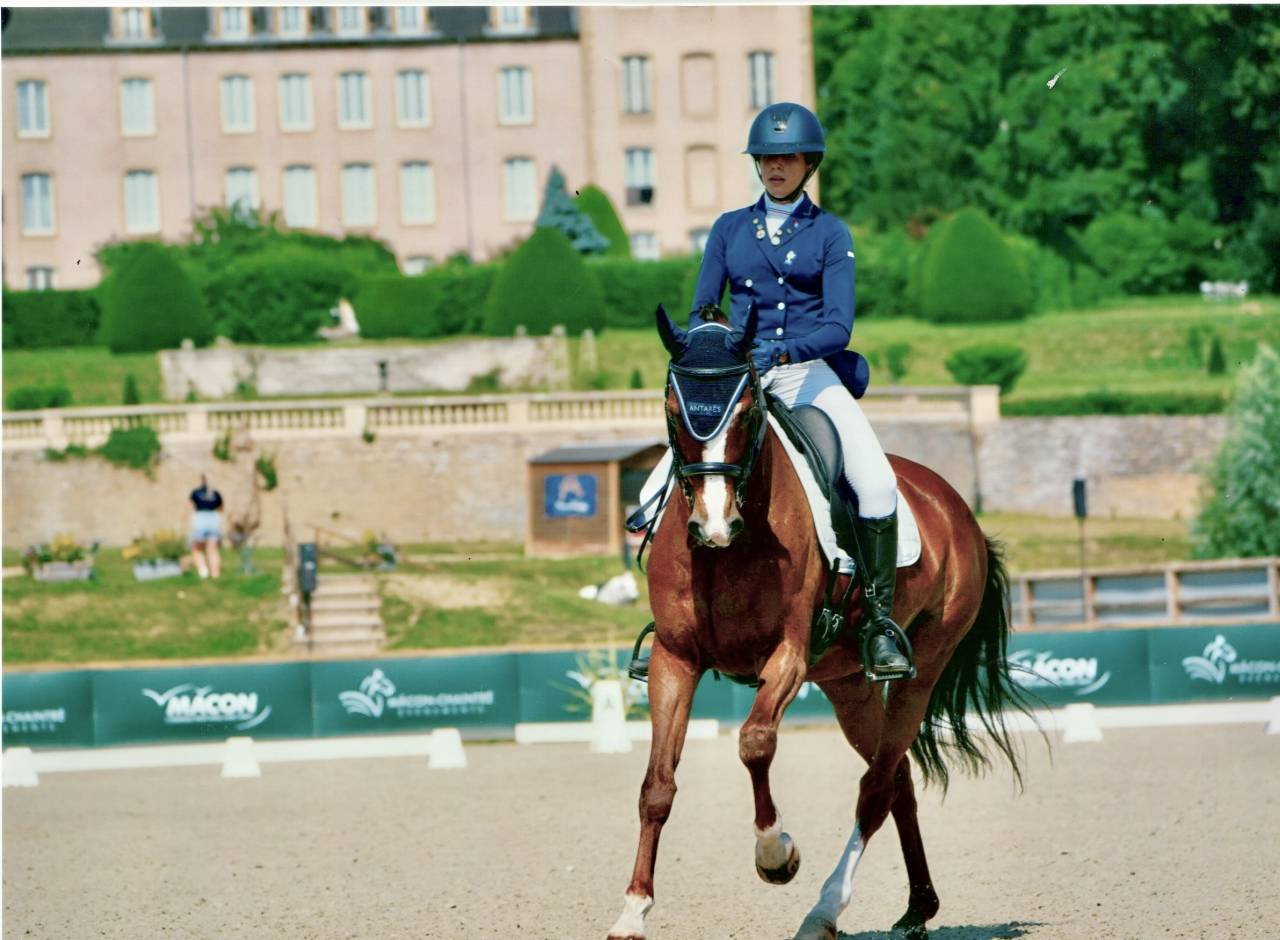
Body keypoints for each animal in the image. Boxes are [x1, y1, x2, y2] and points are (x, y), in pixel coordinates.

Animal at [606, 305, 1033, 940]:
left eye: (747, 410)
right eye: (674, 411)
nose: (714, 525)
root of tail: (958, 509)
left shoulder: (789, 654)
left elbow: (755, 743)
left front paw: (776, 854)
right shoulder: (674, 659)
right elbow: (657, 785)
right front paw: (633, 910)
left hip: (921, 668)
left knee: (876, 787)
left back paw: (825, 909)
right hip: (848, 684)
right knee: (896, 777)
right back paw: (917, 908)